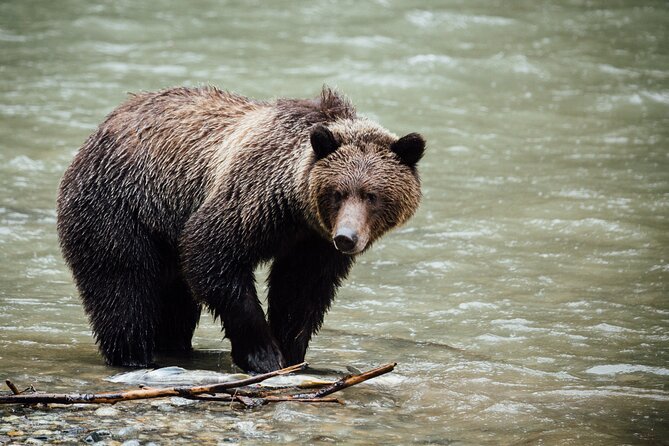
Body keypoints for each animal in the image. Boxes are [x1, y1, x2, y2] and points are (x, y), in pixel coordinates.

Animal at [57, 86, 422, 372]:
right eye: (338, 192)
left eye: (372, 195)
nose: (346, 238)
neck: (296, 209)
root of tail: (103, 125)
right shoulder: (252, 197)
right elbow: (212, 254)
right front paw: (264, 355)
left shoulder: (312, 242)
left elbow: (301, 290)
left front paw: (292, 352)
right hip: (122, 207)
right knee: (123, 285)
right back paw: (134, 355)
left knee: (174, 299)